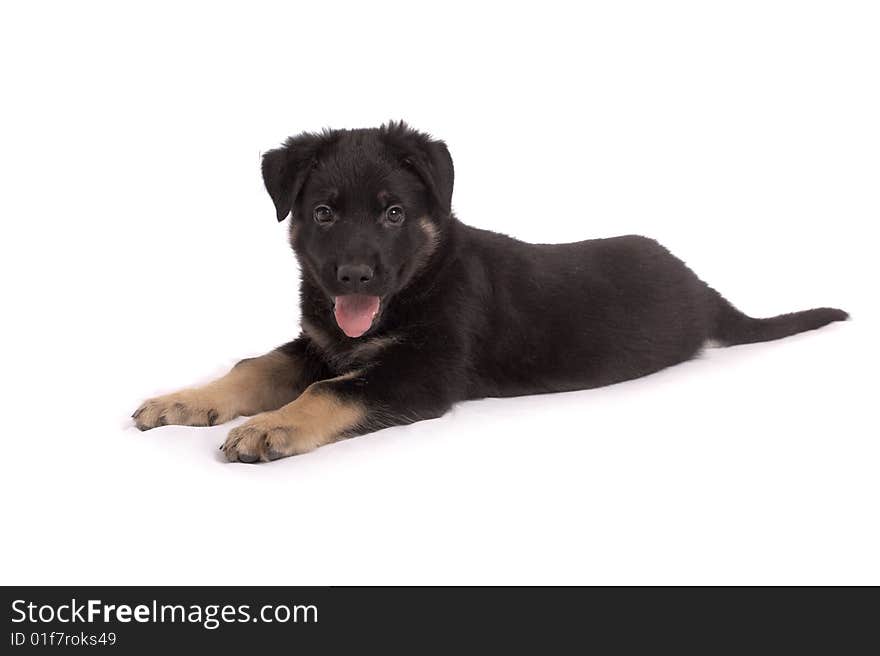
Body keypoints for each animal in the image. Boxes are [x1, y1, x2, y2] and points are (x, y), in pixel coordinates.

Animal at [132, 121, 844, 462]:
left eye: (393, 213)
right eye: (325, 213)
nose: (354, 278)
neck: (419, 282)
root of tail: (701, 287)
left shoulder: (418, 372)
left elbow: (328, 392)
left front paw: (270, 427)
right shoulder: (321, 342)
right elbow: (255, 366)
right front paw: (182, 401)